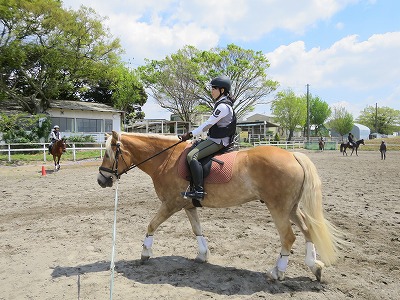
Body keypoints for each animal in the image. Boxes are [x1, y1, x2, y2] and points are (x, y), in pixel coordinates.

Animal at [97, 131, 344, 282]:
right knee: (308, 230)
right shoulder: (188, 205)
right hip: (292, 208)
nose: (102, 180)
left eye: (109, 154)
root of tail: (293, 155)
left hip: (279, 208)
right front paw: (202, 255)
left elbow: (151, 224)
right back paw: (314, 266)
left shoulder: (171, 204)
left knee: (288, 237)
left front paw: (145, 252)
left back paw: (277, 273)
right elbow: (197, 229)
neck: (166, 159)